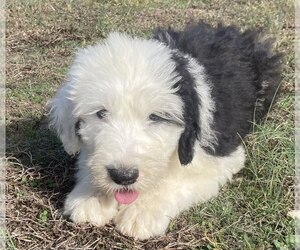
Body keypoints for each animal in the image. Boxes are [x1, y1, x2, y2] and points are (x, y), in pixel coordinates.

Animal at [47, 22, 282, 239]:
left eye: (155, 117)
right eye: (101, 113)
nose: (123, 176)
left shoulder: (221, 157)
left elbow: (178, 180)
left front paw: (142, 211)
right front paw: (92, 197)